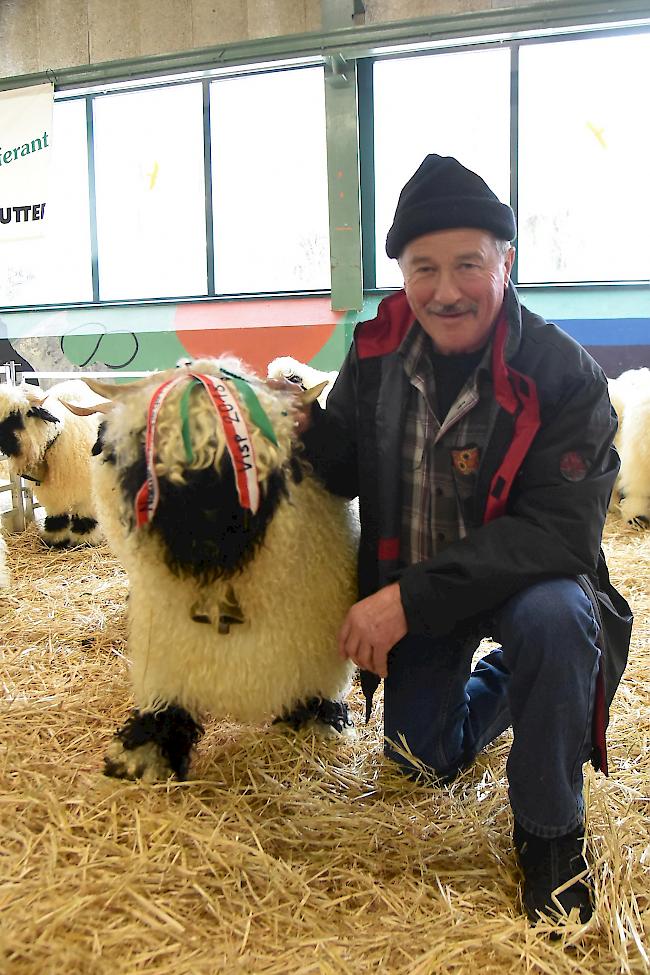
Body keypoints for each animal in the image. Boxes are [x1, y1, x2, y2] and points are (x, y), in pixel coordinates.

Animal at [0, 380, 106, 548]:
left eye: (19, 415)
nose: (4, 441)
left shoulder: (86, 490)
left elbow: (84, 515)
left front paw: (84, 539)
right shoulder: (50, 492)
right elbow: (56, 515)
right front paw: (55, 539)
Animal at [83, 354, 356, 780]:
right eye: (147, 448)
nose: (203, 520)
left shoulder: (317, 646)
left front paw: (315, 721)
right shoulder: (166, 648)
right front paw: (143, 752)